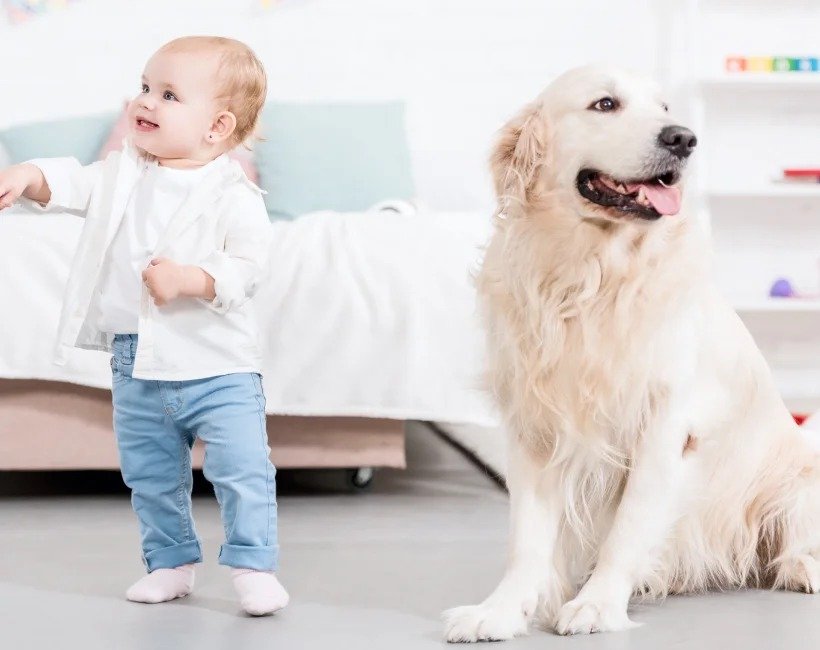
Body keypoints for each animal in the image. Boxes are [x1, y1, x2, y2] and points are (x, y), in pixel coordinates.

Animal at [443, 65, 820, 640]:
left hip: (800, 476)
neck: (589, 278)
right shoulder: (533, 425)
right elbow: (526, 539)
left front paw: (597, 605)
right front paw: (501, 610)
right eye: (605, 103)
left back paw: (802, 568)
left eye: (665, 108)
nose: (683, 138)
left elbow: (628, 528)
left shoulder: (665, 426)